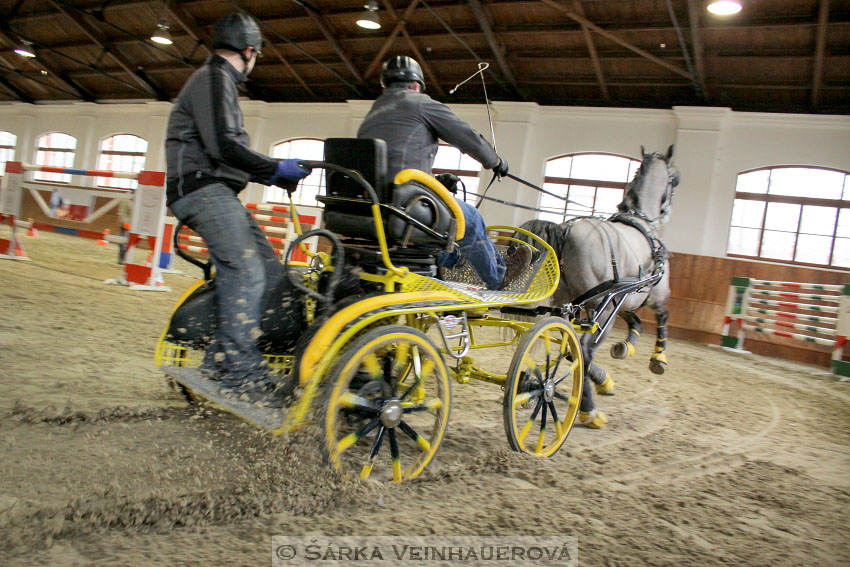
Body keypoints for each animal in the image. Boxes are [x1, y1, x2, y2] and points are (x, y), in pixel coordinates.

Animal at [512, 146, 680, 430]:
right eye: (674, 179)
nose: (667, 209)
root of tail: (565, 229)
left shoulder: (624, 298)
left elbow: (635, 321)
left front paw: (625, 348)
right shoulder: (651, 295)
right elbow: (662, 317)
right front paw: (659, 359)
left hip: (568, 303)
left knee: (566, 345)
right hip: (602, 308)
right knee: (584, 349)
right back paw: (589, 410)